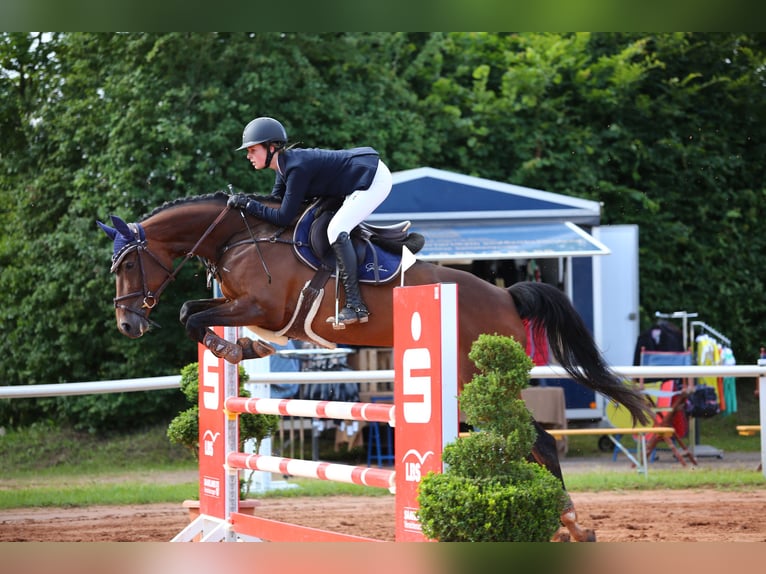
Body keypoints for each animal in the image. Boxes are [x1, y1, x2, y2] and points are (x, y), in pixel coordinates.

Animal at [98, 191, 652, 542]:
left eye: (126, 264)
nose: (126, 324)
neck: (237, 236)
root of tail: (506, 295)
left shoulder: (260, 307)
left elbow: (193, 316)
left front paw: (231, 349)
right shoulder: (246, 309)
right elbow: (196, 313)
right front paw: (243, 350)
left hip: (476, 381)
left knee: (538, 439)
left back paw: (572, 522)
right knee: (521, 441)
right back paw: (554, 521)